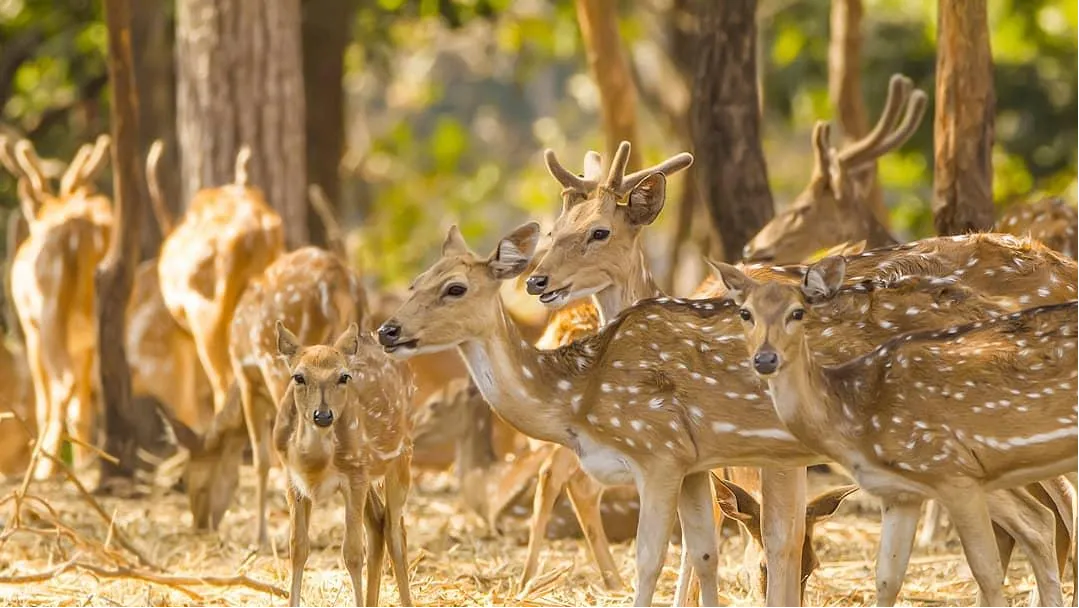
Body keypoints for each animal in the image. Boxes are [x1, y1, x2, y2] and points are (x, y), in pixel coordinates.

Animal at [1, 134, 113, 479]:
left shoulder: (29, 327)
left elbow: (42, 401)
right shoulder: (84, 343)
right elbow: (82, 406)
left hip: (47, 314)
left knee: (62, 384)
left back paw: (45, 468)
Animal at [274, 322, 414, 608]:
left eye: (343, 377)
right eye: (298, 377)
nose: (323, 415)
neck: (315, 465)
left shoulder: (354, 476)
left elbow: (352, 553)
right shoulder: (292, 480)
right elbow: (297, 548)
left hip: (401, 455)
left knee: (395, 531)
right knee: (378, 523)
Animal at [712, 257, 1079, 608]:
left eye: (797, 312)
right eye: (745, 313)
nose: (765, 359)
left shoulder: (954, 475)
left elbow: (986, 571)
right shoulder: (900, 493)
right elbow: (887, 577)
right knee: (1043, 517)